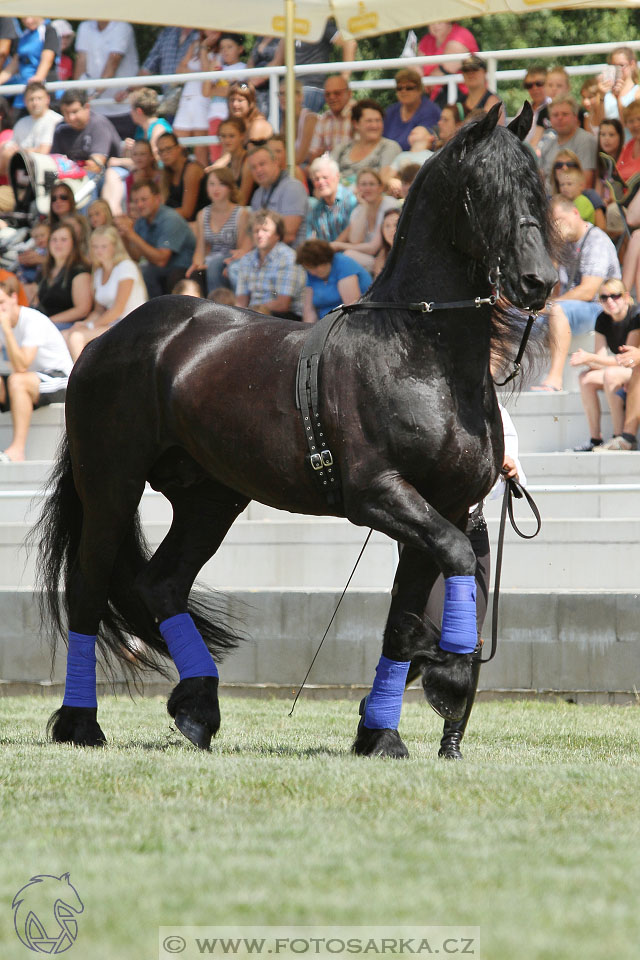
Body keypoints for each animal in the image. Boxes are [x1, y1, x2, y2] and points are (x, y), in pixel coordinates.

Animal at [33, 105, 556, 756]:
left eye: (536, 185)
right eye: (482, 188)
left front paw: (380, 733)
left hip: (210, 498)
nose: (539, 281)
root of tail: (105, 340)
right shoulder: (379, 495)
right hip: (111, 486)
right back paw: (81, 723)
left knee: (161, 585)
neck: (417, 351)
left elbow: (404, 621)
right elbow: (454, 564)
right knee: (88, 591)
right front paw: (451, 680)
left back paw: (198, 707)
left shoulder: (444, 507)